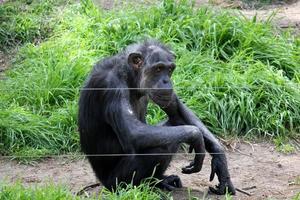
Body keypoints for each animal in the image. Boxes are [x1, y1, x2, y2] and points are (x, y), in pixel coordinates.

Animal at [78, 39, 236, 195]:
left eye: (169, 69)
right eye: (158, 69)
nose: (166, 81)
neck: (130, 77)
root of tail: (102, 182)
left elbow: (177, 111)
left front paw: (221, 162)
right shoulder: (111, 85)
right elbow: (133, 132)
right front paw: (196, 137)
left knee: (176, 123)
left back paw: (161, 180)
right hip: (114, 182)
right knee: (160, 148)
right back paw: (144, 185)